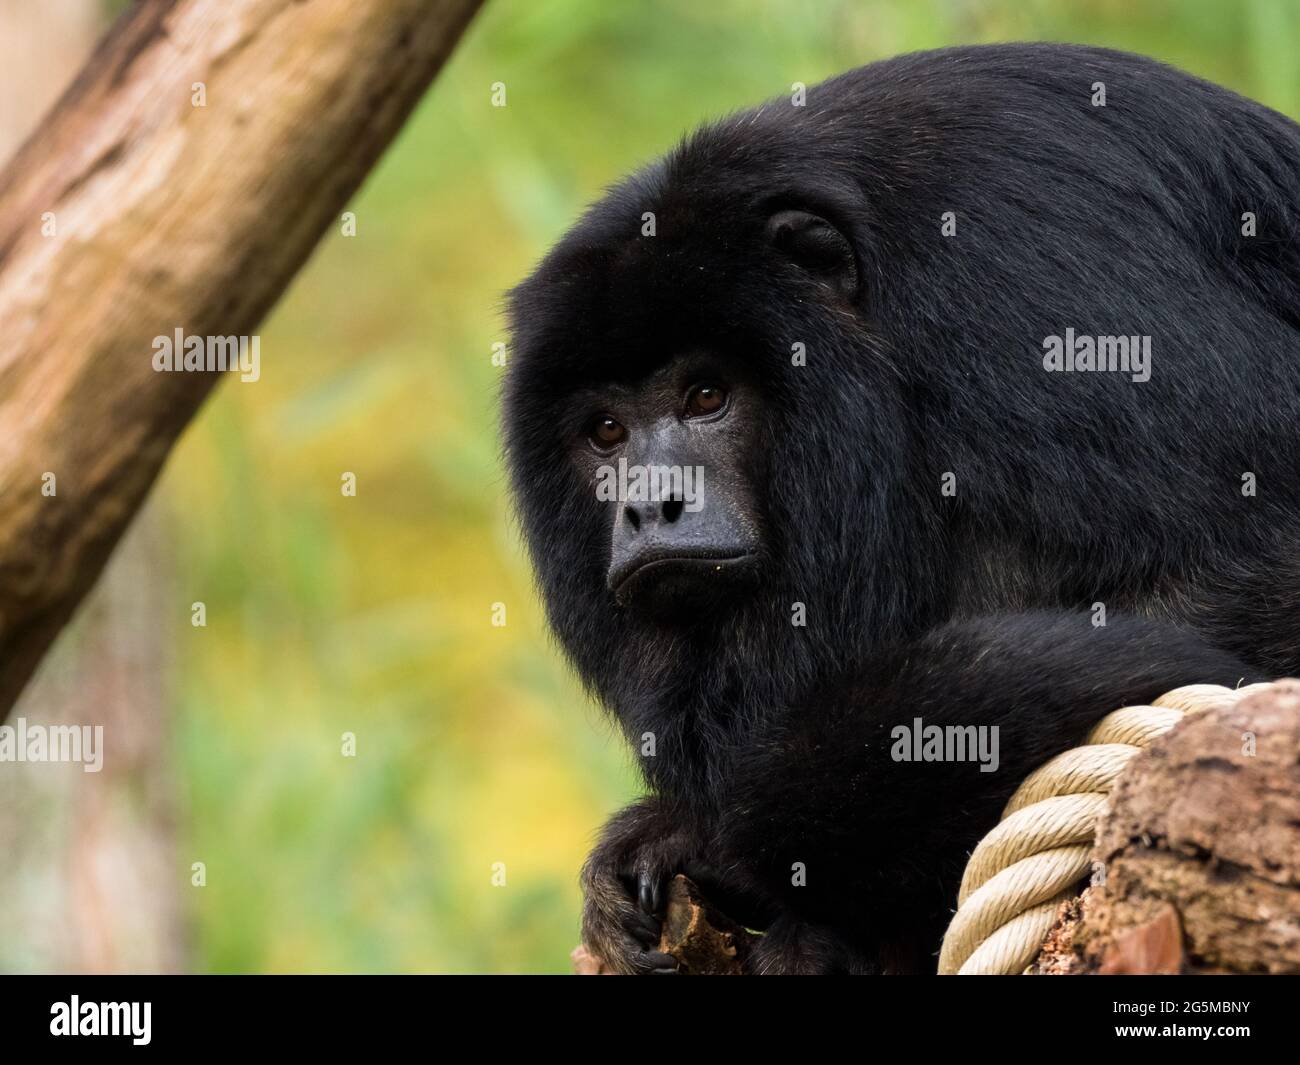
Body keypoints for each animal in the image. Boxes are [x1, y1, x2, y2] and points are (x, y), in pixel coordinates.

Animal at [501, 41, 1294, 972]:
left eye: (705, 395)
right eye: (606, 431)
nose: (650, 506)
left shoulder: (1020, 256)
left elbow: (1248, 553)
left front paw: (717, 848)